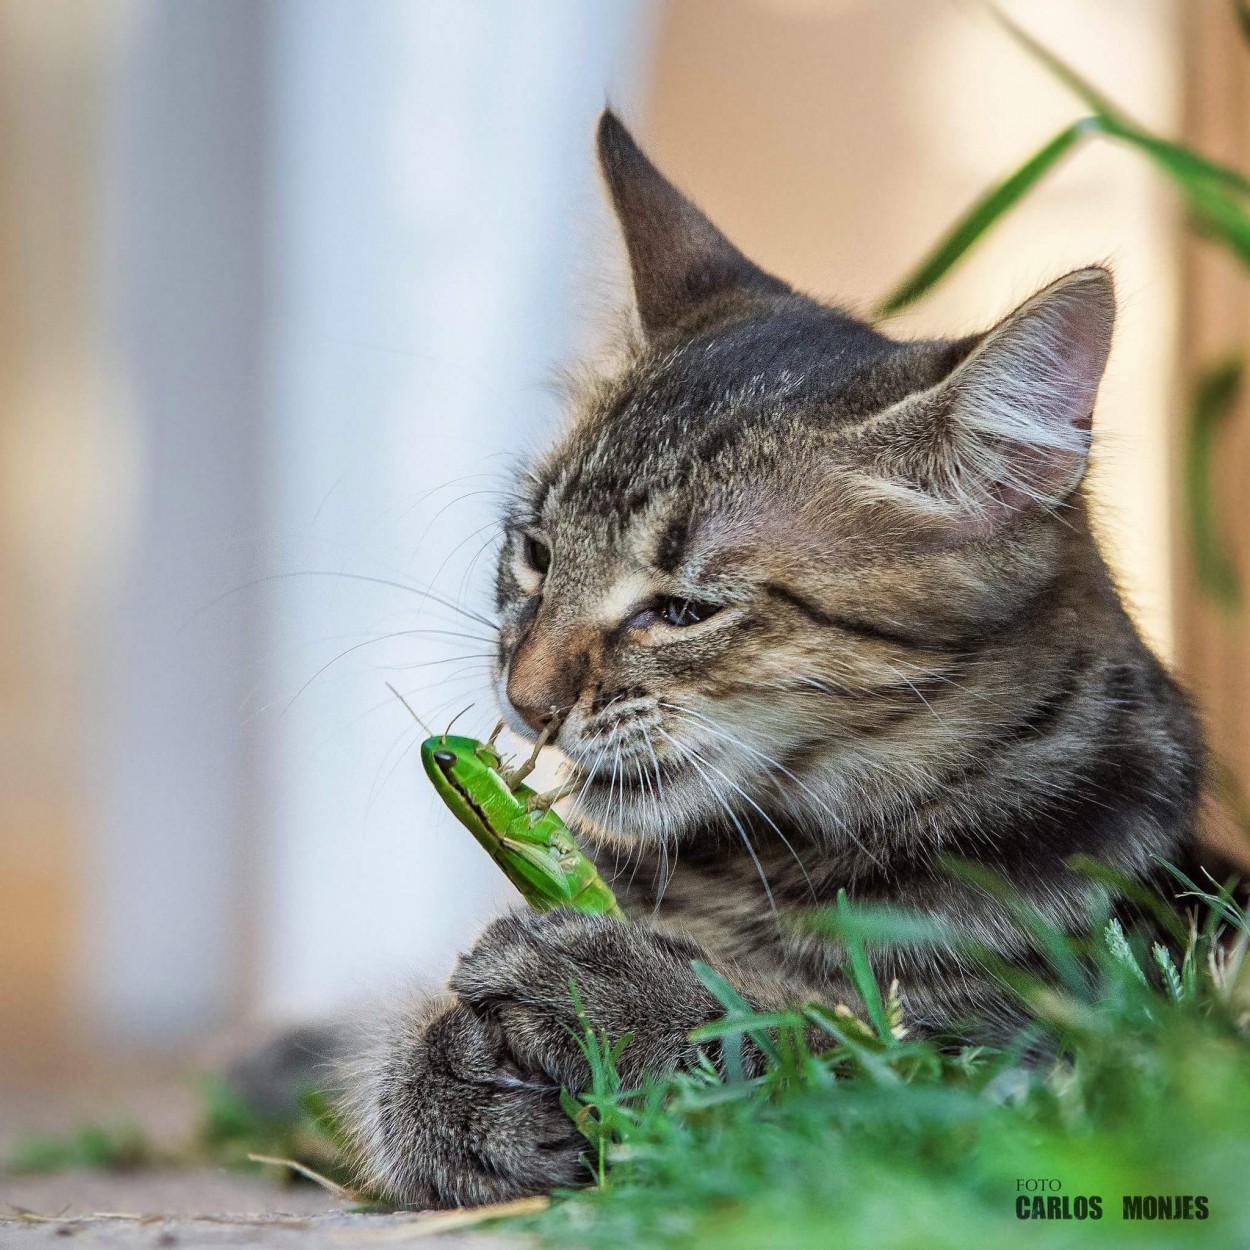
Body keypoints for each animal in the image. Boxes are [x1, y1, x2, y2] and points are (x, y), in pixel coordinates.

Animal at [340, 112, 1200, 1205]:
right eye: (535, 553)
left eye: (682, 610)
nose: (526, 701)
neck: (760, 873)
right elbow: (396, 1064)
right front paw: (451, 1083)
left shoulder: (1046, 1067)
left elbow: (817, 1053)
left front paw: (622, 994)